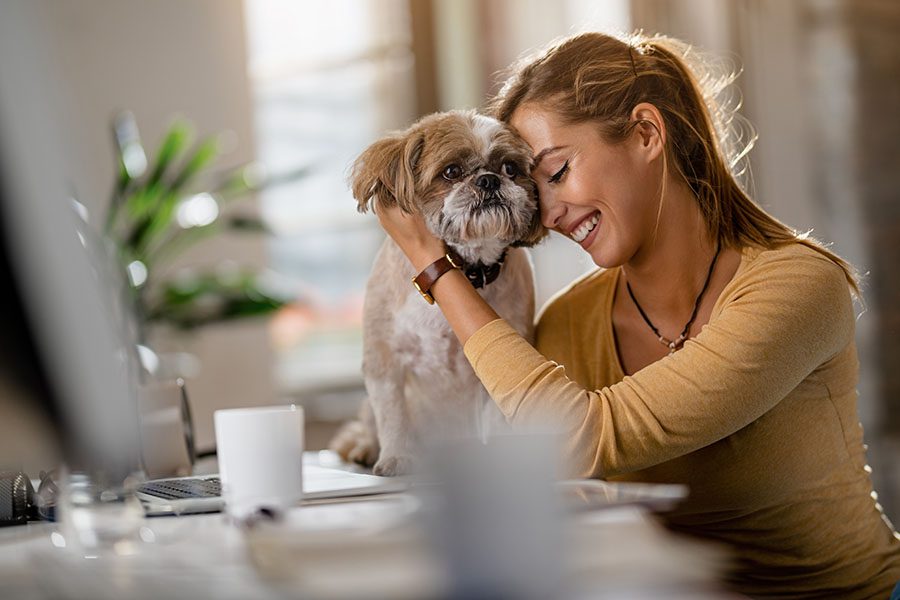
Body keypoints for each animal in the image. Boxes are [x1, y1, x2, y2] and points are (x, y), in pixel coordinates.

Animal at [328, 110, 544, 476]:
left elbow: (497, 417)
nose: (489, 180)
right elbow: (393, 414)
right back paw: (366, 449)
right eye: (451, 171)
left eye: (510, 168)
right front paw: (397, 456)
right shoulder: (384, 360)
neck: (464, 269)